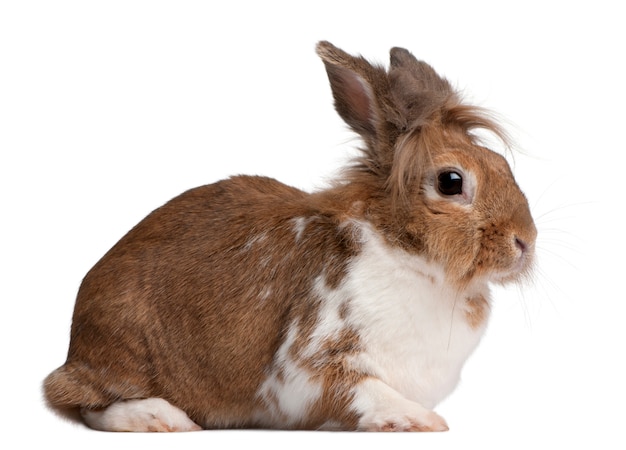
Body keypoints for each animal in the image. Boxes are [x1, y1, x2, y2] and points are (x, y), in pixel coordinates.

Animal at [44, 42, 532, 432]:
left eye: (502, 165)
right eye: (451, 182)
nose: (524, 241)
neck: (403, 252)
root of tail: (74, 347)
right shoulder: (313, 361)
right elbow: (366, 392)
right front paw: (422, 421)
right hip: (125, 348)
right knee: (83, 403)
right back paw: (162, 419)